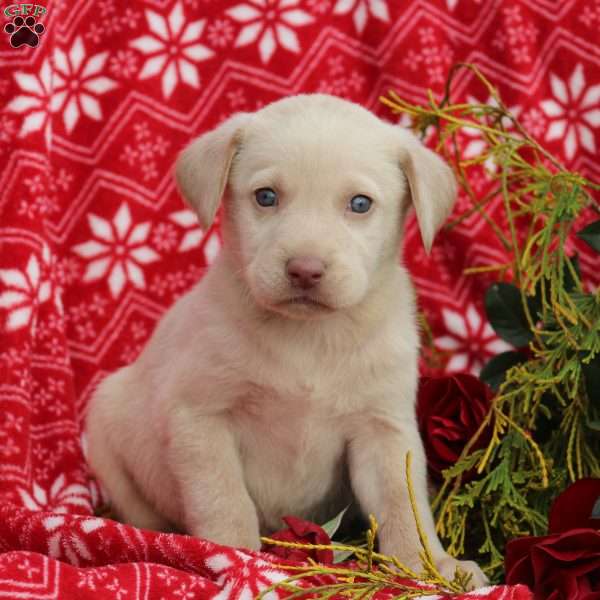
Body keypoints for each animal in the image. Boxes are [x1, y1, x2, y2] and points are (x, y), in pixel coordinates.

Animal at [84, 94, 488, 584]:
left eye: (360, 203)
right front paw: (232, 557)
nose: (305, 270)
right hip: (105, 422)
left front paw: (430, 565)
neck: (309, 338)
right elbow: (223, 500)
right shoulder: (199, 419)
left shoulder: (383, 429)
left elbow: (403, 503)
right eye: (266, 197)